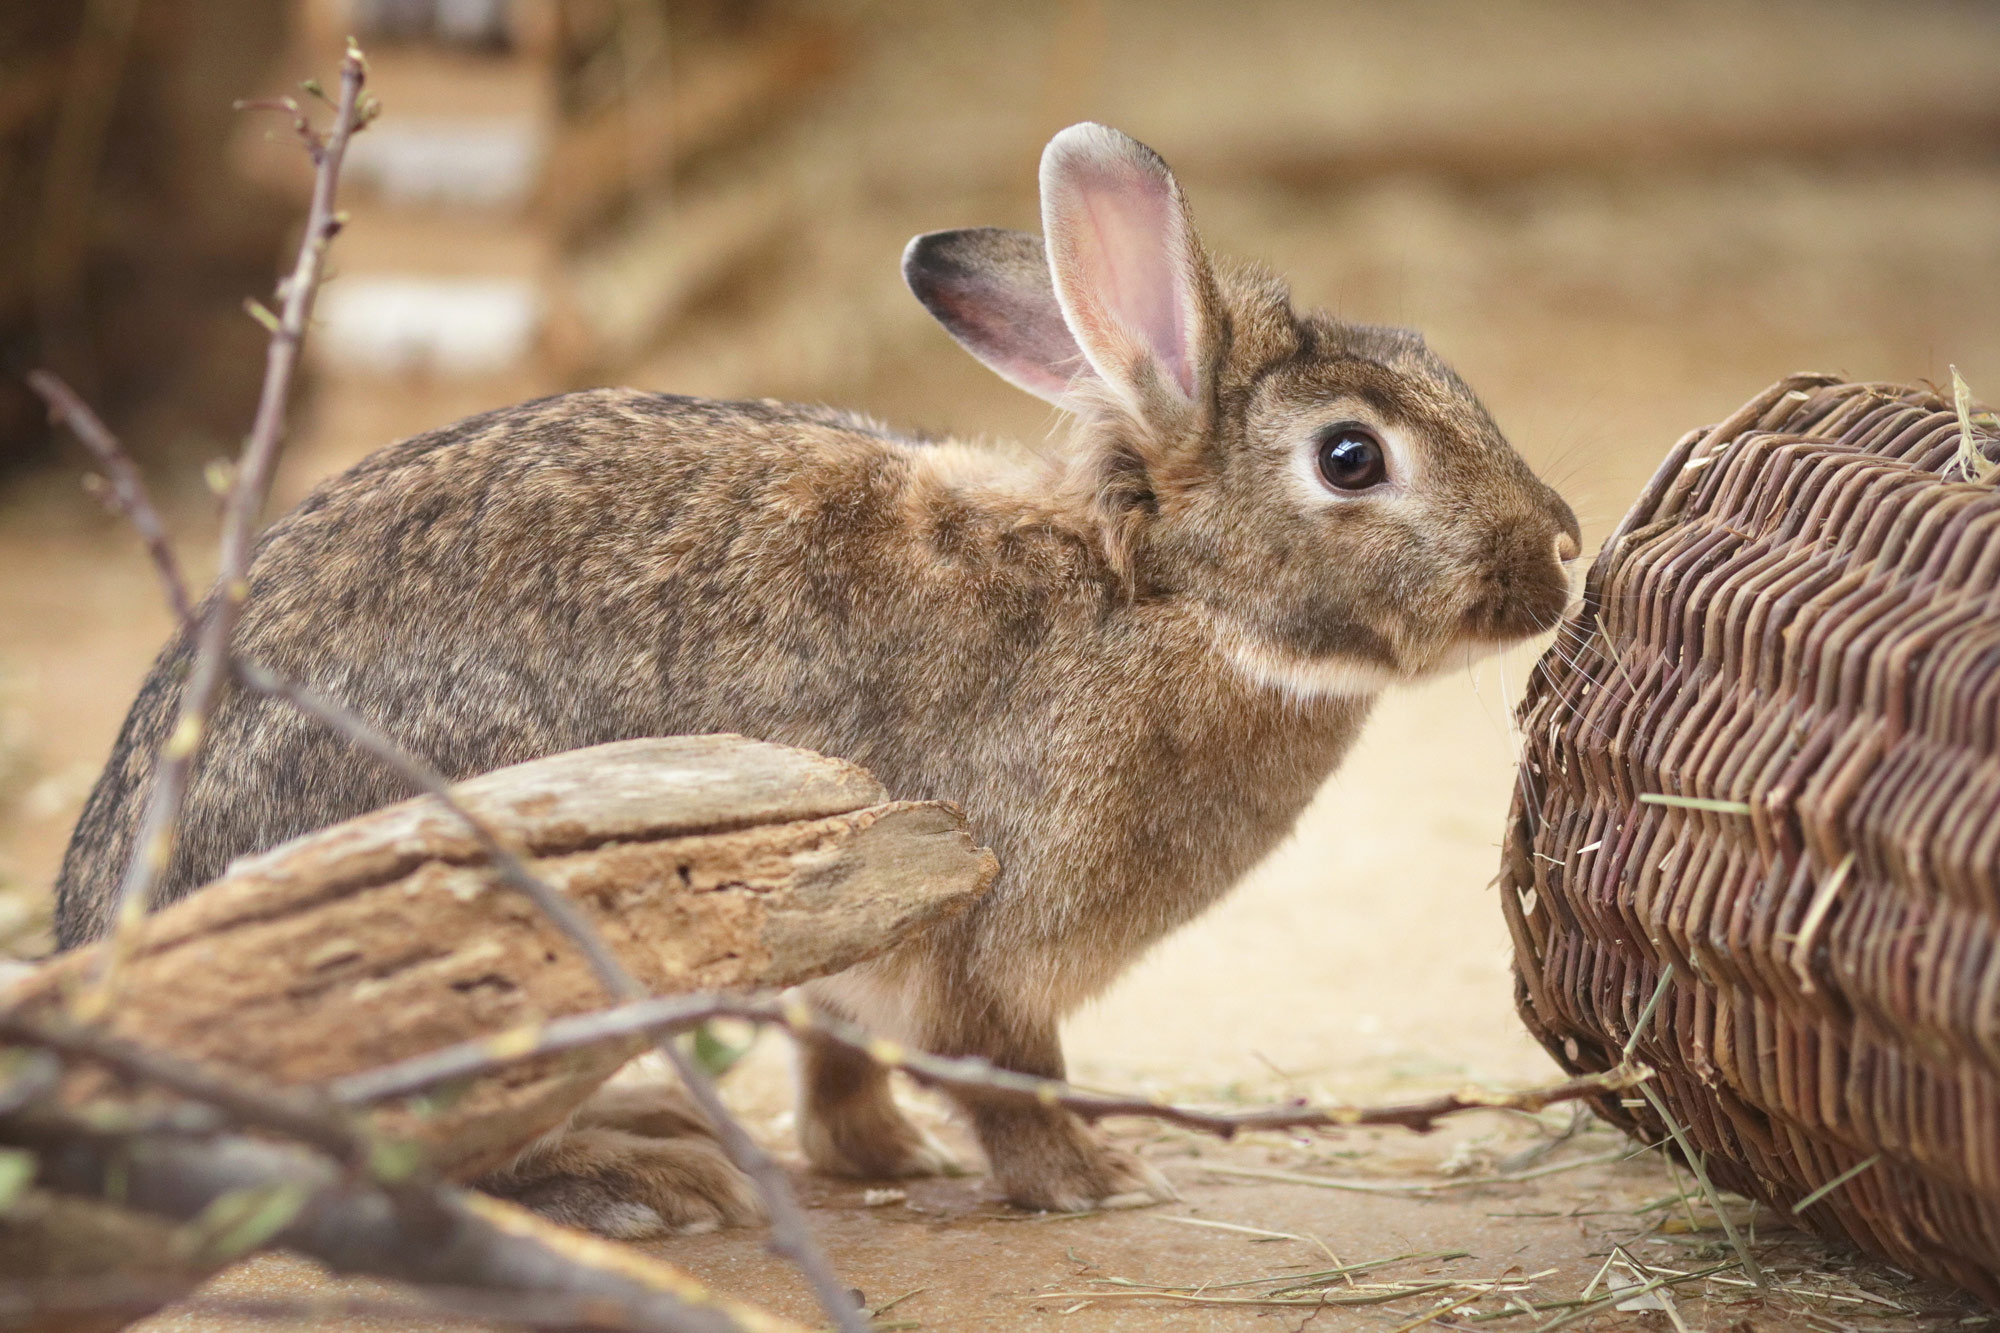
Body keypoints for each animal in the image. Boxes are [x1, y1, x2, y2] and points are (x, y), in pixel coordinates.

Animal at [54, 124, 1576, 1224]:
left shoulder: (844, 941)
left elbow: (836, 1055)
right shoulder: (986, 934)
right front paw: (1096, 1182)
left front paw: (879, 1156)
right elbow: (1007, 1078)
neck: (1160, 601)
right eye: (1351, 457)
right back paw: (638, 1176)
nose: (1558, 549)